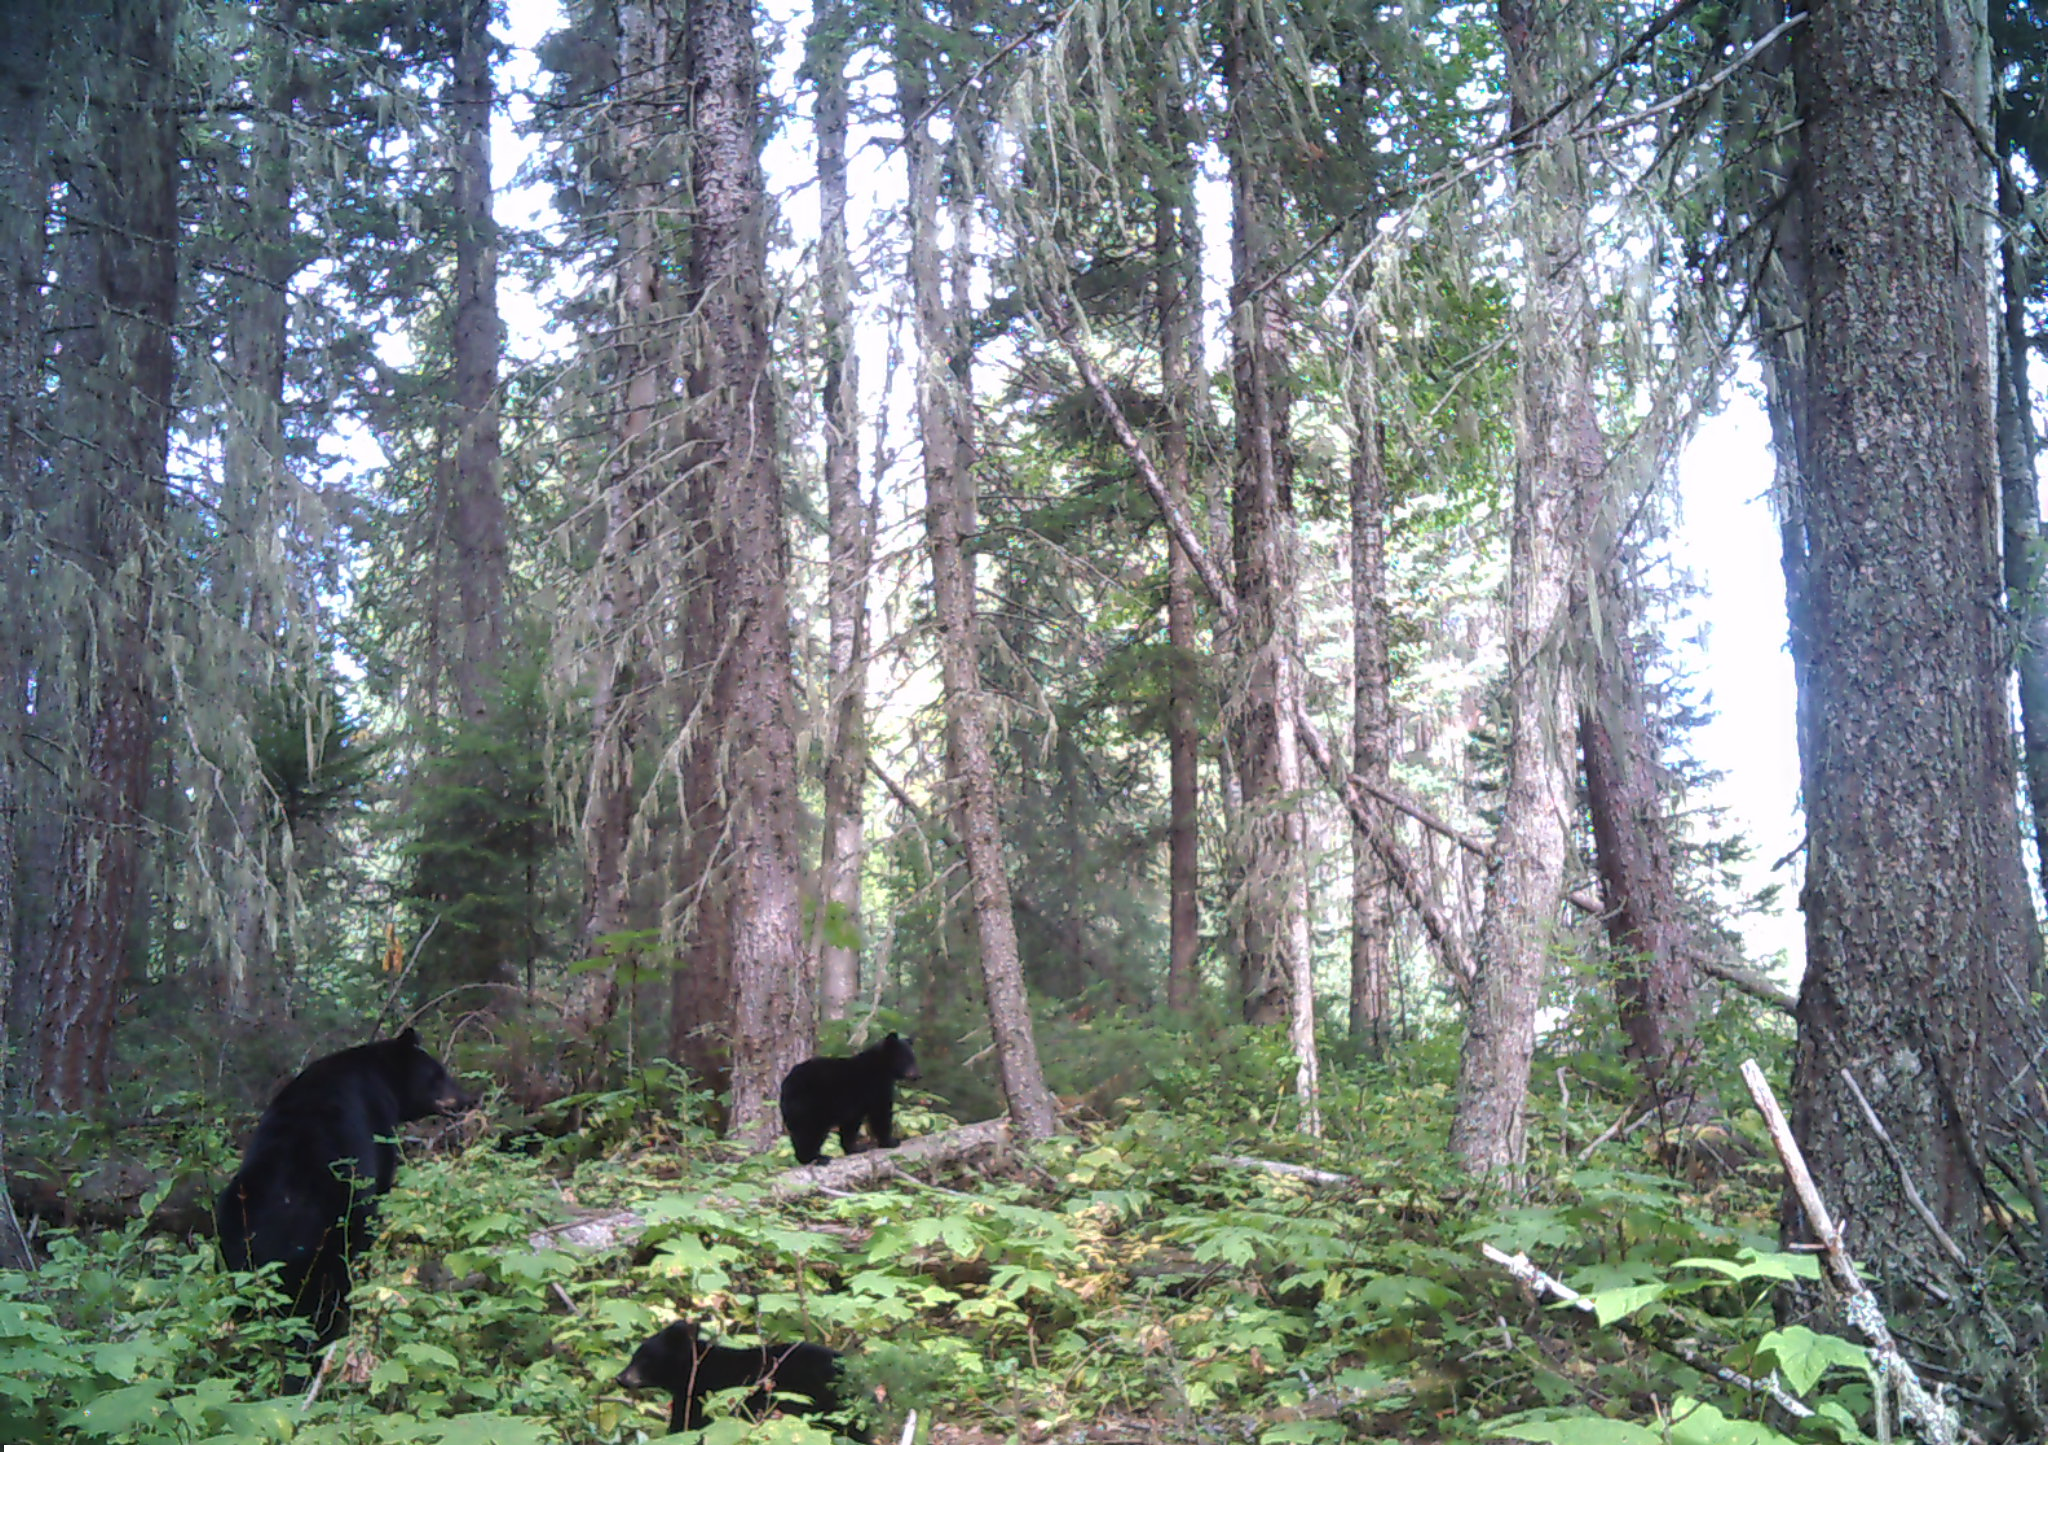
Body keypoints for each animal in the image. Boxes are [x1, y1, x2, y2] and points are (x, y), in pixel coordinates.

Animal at [216, 1026, 476, 1348]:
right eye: (438, 1074)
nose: (469, 1098)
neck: (378, 1075)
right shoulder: (378, 1132)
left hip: (233, 1248)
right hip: (330, 1236)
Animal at [778, 1031, 920, 1165]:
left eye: (914, 1059)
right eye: (907, 1059)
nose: (918, 1075)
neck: (881, 1066)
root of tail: (786, 1084)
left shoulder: (855, 1105)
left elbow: (851, 1124)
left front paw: (854, 1148)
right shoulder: (875, 1087)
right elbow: (880, 1113)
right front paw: (891, 1141)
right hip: (811, 1104)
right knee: (810, 1131)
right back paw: (816, 1158)